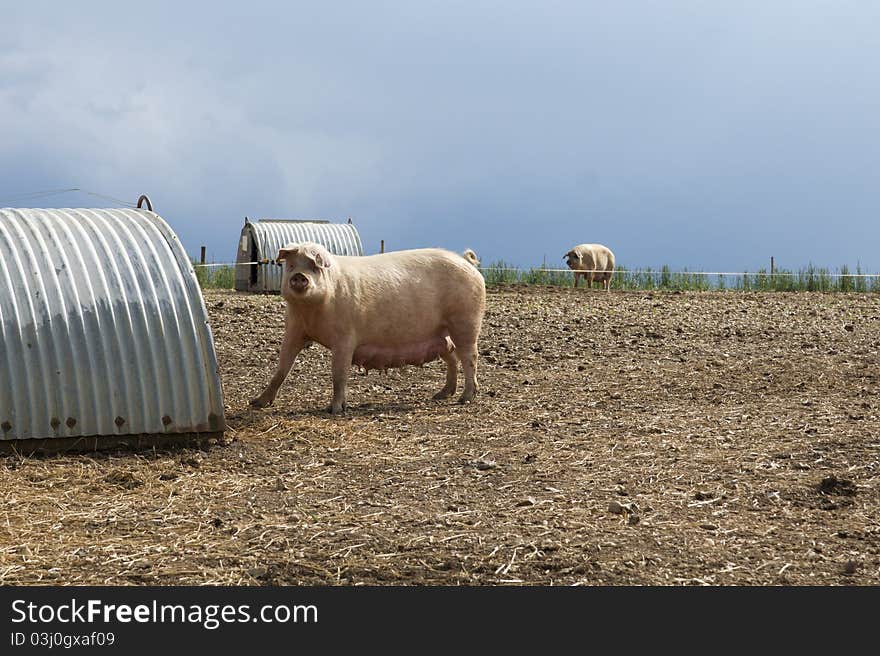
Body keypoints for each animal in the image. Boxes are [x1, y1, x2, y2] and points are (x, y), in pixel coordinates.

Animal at [249, 241, 488, 416]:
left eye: (315, 267)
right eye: (290, 266)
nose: (299, 276)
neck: (311, 312)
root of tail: (466, 262)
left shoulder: (345, 337)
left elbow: (339, 374)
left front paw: (334, 410)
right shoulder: (294, 329)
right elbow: (282, 368)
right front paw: (256, 403)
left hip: (466, 322)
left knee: (470, 357)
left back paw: (464, 398)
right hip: (441, 334)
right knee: (453, 358)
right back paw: (441, 394)